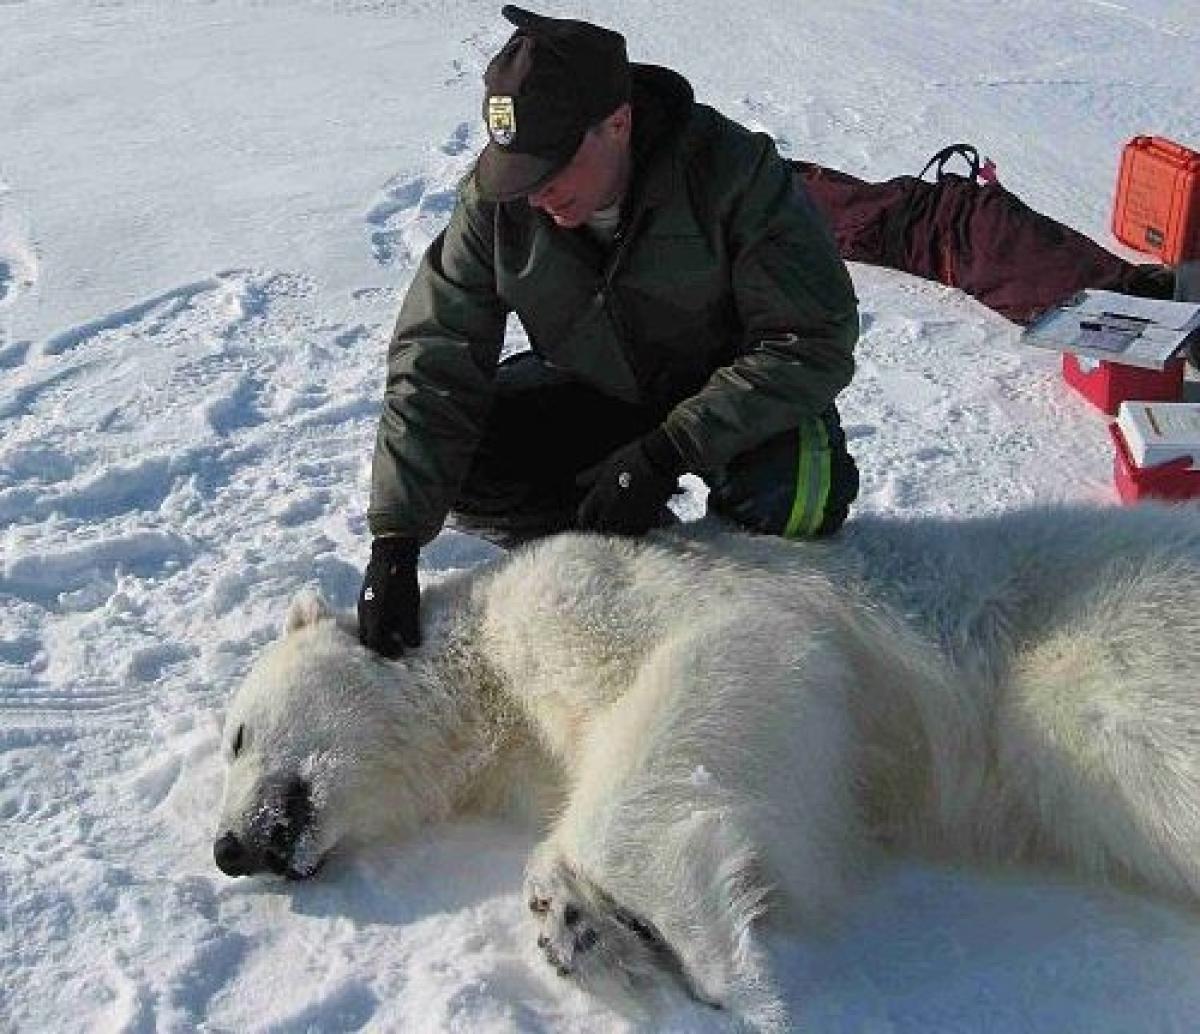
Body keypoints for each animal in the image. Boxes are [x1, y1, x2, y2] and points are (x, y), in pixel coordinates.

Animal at [213, 501, 1200, 1026]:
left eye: (235, 734)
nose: (229, 847)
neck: (478, 661)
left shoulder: (593, 591)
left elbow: (725, 657)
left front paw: (712, 958)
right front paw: (581, 927)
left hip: (1097, 659)